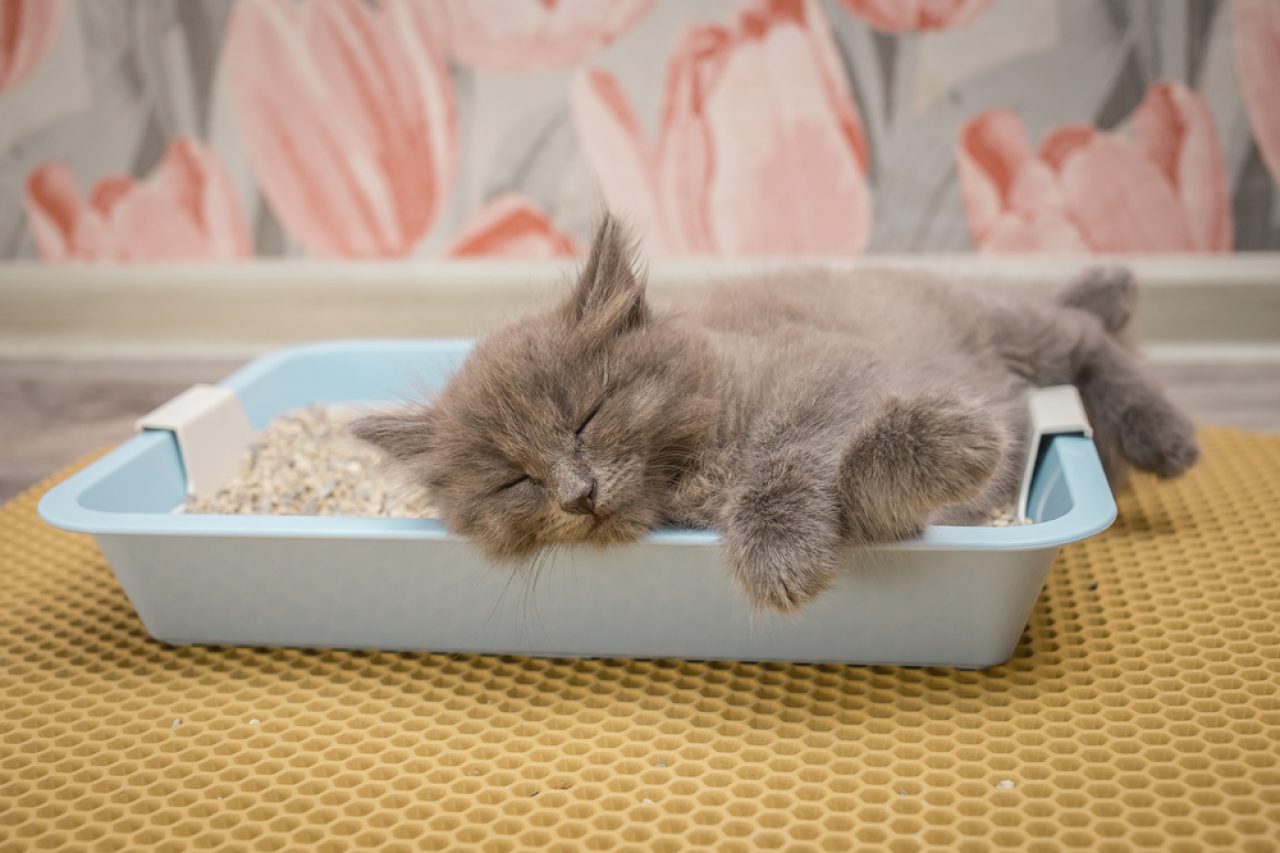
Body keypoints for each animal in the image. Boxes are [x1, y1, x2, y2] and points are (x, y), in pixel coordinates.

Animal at [353, 216, 1198, 607]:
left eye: (587, 416)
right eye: (513, 481)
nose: (577, 495)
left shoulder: (823, 368)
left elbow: (787, 451)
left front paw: (776, 547)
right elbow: (865, 494)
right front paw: (953, 443)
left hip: (1008, 325)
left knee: (1088, 338)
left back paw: (1162, 426)